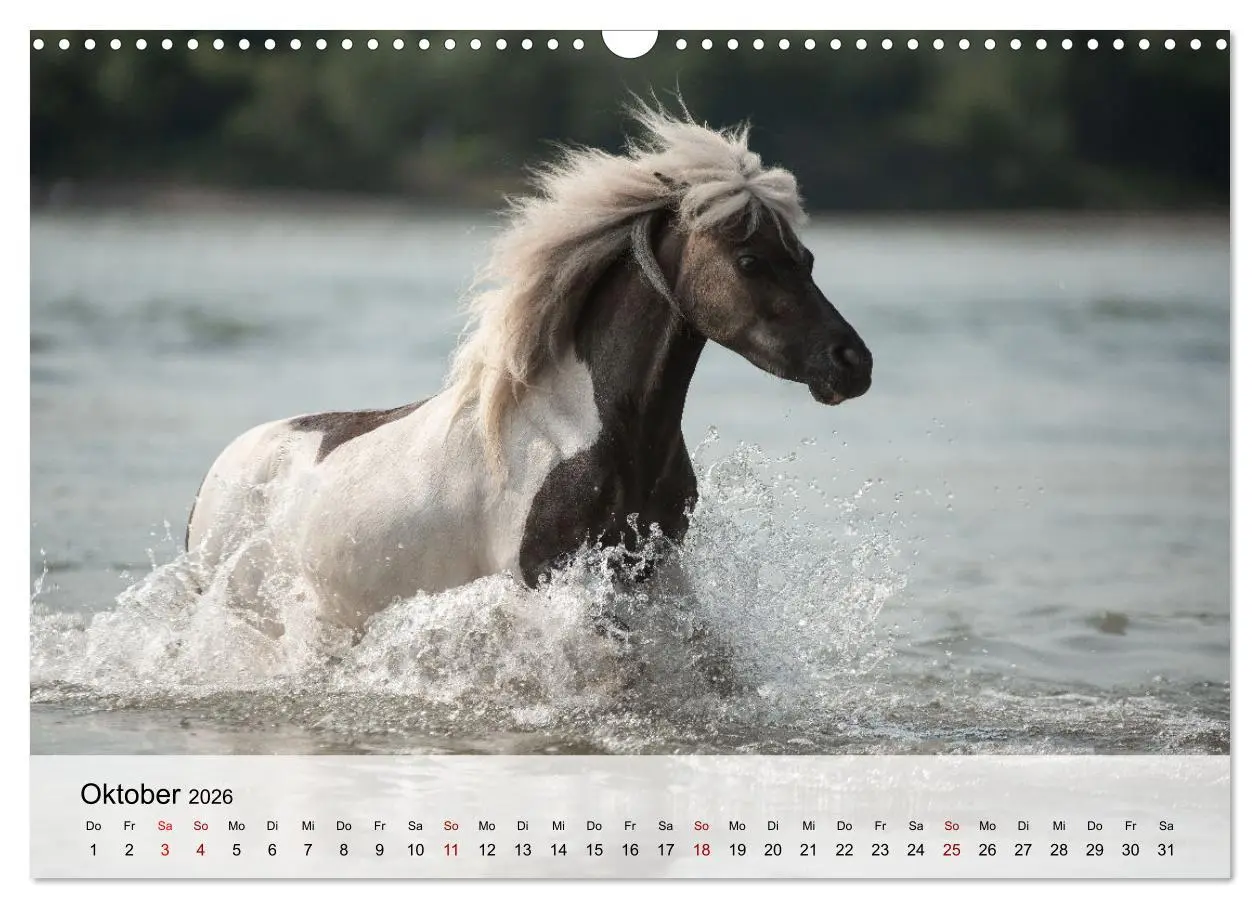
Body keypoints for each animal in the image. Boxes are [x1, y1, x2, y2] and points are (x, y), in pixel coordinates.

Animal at [184, 105, 873, 644]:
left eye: (806, 258)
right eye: (750, 260)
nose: (852, 363)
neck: (593, 432)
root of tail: (221, 469)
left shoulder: (654, 576)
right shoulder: (550, 585)